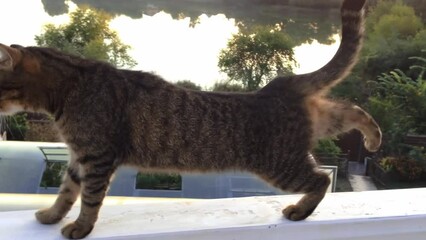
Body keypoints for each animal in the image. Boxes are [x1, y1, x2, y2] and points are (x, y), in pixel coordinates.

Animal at [0, 0, 380, 237]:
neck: (69, 87)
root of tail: (277, 86)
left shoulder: (97, 157)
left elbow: (89, 200)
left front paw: (80, 227)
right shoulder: (79, 158)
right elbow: (66, 193)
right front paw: (51, 215)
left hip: (280, 165)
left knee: (321, 179)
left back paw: (301, 210)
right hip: (319, 124)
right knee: (353, 110)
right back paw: (373, 137)